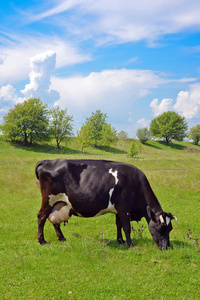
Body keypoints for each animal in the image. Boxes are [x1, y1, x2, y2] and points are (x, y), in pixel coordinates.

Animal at [35, 159, 177, 248]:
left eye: (170, 229)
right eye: (160, 228)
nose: (166, 247)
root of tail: (48, 161)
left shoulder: (118, 209)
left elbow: (119, 225)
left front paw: (120, 241)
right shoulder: (123, 208)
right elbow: (126, 227)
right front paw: (130, 244)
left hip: (58, 203)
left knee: (54, 221)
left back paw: (61, 238)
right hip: (49, 199)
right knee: (41, 217)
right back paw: (41, 241)